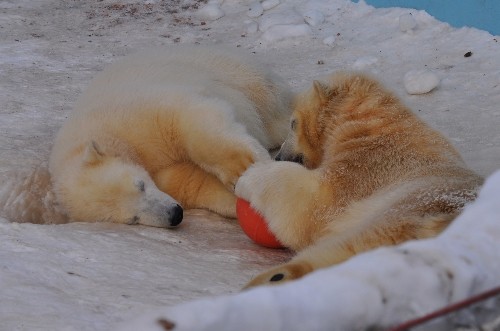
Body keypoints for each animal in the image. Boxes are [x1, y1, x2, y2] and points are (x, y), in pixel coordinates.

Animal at [46, 45, 292, 228]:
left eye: (140, 185)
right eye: (132, 219)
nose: (175, 214)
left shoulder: (132, 116)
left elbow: (185, 119)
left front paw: (244, 167)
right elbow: (189, 182)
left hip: (224, 69)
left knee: (268, 101)